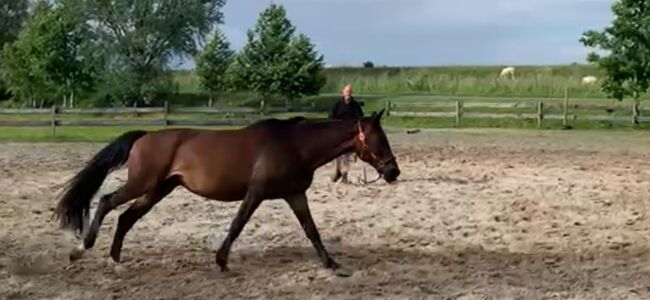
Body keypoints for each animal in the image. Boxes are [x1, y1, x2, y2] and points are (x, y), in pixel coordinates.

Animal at [55, 108, 398, 276]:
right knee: (106, 201)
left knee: (126, 218)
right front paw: (221, 262)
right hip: (143, 184)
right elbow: (237, 224)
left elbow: (311, 230)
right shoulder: (256, 192)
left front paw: (333, 265)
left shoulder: (295, 195)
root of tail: (145, 135)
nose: (394, 172)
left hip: (158, 189)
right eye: (379, 140)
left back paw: (116, 261)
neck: (295, 145)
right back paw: (81, 249)